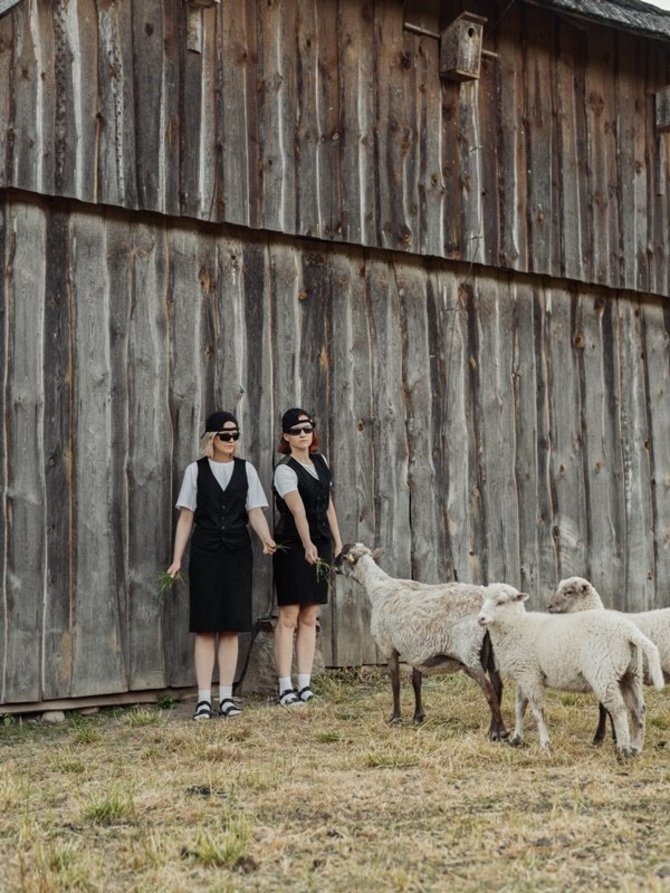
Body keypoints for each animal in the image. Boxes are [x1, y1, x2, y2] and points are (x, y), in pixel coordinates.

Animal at [330, 544, 510, 740]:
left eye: (342, 556)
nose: (332, 566)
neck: (378, 588)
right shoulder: (415, 651)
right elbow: (416, 682)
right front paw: (418, 716)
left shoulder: (388, 646)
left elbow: (395, 684)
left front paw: (396, 718)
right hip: (492, 653)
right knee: (498, 687)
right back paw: (494, 729)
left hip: (470, 654)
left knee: (490, 691)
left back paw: (498, 732)